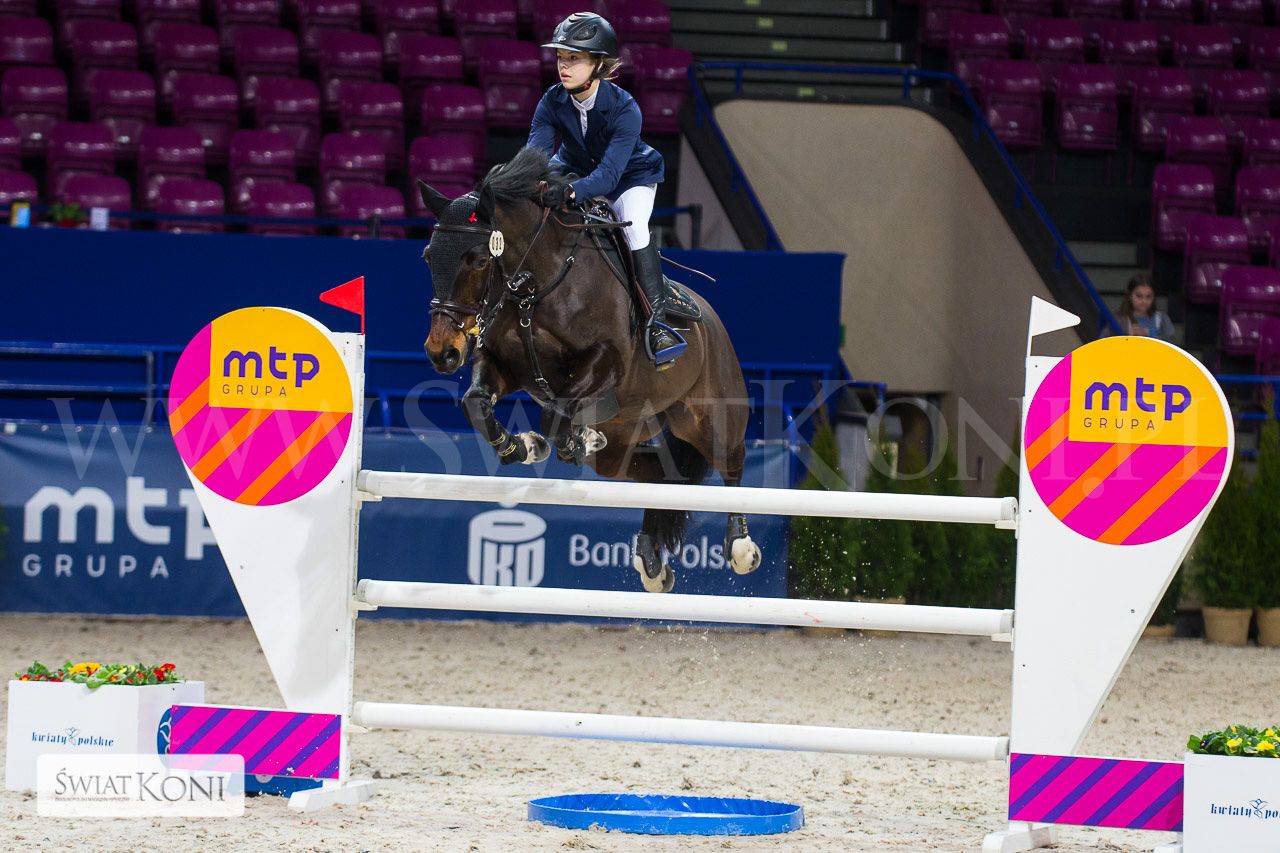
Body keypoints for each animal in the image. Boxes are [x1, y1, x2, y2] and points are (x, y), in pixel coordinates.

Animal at [418, 146, 761, 593]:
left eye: (477, 260)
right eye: (428, 256)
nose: (442, 352)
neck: (536, 287)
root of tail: (712, 321)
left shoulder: (608, 362)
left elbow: (555, 412)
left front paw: (564, 441)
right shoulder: (502, 363)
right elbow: (477, 402)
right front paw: (523, 447)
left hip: (709, 416)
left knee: (732, 461)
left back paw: (740, 546)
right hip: (626, 438)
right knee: (658, 476)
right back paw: (652, 563)